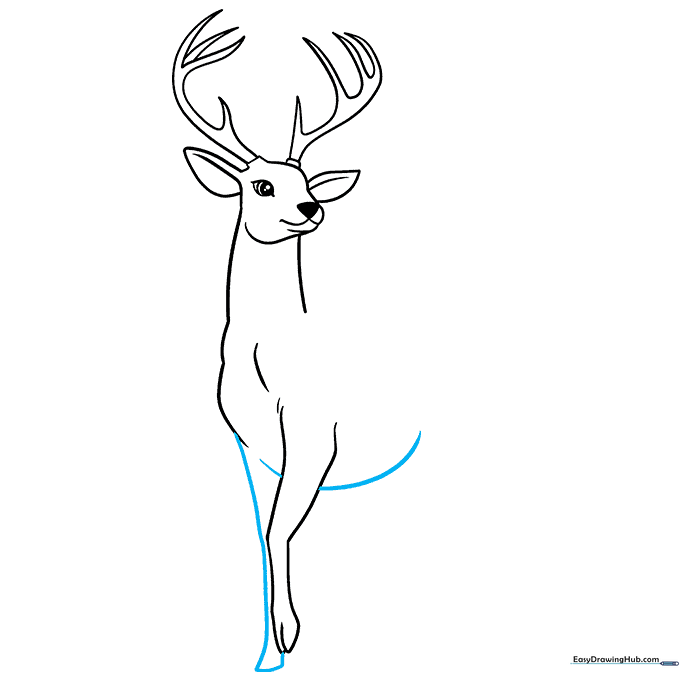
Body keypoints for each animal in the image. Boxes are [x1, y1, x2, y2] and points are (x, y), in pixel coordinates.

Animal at [172, 11, 420, 672]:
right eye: (260, 185)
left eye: (307, 179)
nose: (311, 207)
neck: (266, 357)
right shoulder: (249, 439)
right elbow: (265, 525)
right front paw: (266, 641)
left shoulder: (314, 432)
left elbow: (282, 525)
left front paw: (286, 634)